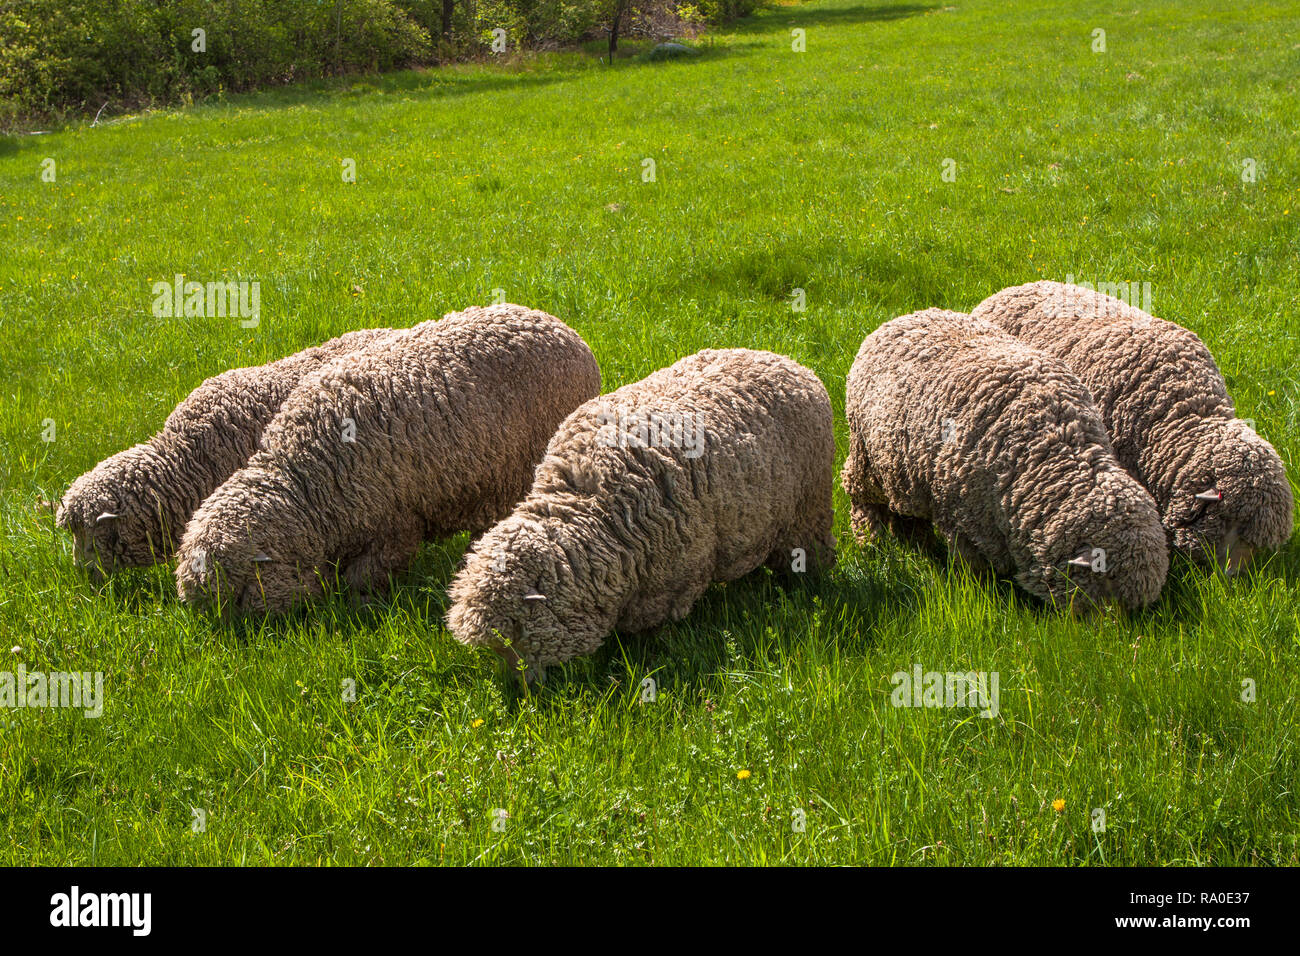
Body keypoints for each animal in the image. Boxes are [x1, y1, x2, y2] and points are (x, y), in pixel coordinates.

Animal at [170, 304, 600, 613]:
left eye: (240, 593)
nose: (250, 643)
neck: (305, 483)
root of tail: (562, 327)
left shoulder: (396, 523)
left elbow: (365, 577)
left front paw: (361, 603)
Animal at [444, 348, 832, 686]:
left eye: (515, 635)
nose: (519, 691)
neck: (589, 511)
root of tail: (787, 361)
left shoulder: (669, 583)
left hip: (808, 509)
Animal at [842, 312, 1170, 613]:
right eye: (1108, 585)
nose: (1118, 633)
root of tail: (904, 317)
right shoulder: (960, 516)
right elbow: (972, 566)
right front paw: (974, 589)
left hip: (905, 473)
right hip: (864, 458)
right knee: (862, 500)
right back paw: (870, 542)